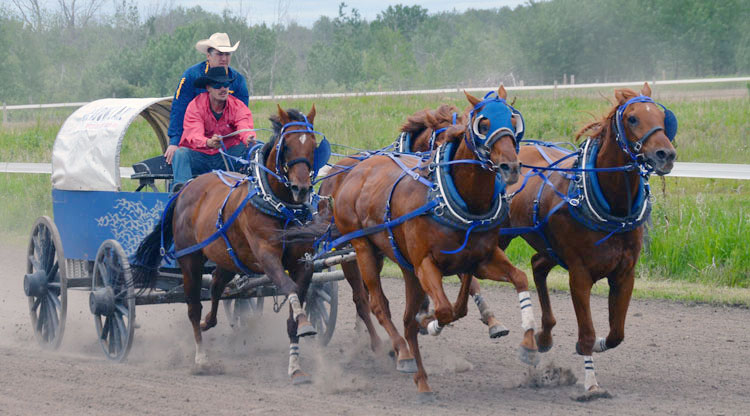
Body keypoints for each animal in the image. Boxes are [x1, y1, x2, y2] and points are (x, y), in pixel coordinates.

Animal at [131, 105, 328, 386]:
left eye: (312, 144)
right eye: (287, 146)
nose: (301, 188)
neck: (280, 206)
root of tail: (186, 188)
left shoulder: (304, 263)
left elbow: (294, 307)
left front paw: (296, 367)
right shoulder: (267, 257)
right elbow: (289, 288)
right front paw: (305, 323)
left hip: (228, 259)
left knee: (215, 286)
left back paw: (208, 323)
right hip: (190, 260)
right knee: (193, 307)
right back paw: (201, 358)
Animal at [314, 88, 536, 400]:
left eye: (513, 120)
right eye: (483, 123)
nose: (511, 166)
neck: (451, 197)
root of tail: (352, 171)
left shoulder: (481, 258)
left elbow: (514, 279)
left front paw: (522, 340)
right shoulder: (425, 264)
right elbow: (443, 310)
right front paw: (428, 323)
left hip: (396, 260)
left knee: (396, 311)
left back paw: (419, 374)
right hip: (360, 248)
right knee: (373, 302)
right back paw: (397, 350)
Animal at [500, 83, 680, 398]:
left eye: (661, 115)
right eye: (632, 118)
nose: (665, 154)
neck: (612, 207)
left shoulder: (625, 273)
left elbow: (616, 333)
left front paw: (597, 346)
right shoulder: (580, 273)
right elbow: (586, 332)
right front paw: (592, 384)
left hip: (550, 246)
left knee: (538, 265)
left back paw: (544, 334)